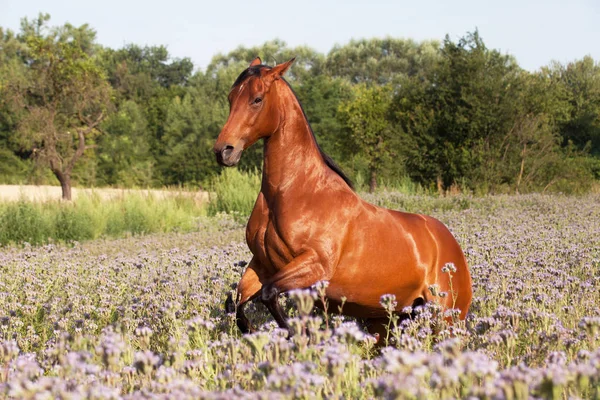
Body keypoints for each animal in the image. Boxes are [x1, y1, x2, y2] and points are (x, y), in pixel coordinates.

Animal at [213, 57, 472, 340]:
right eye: (230, 97)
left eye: (257, 99)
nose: (223, 151)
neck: (294, 192)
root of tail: (452, 248)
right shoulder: (261, 265)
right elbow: (236, 301)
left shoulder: (314, 266)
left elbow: (268, 294)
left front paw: (299, 334)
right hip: (384, 322)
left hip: (446, 319)